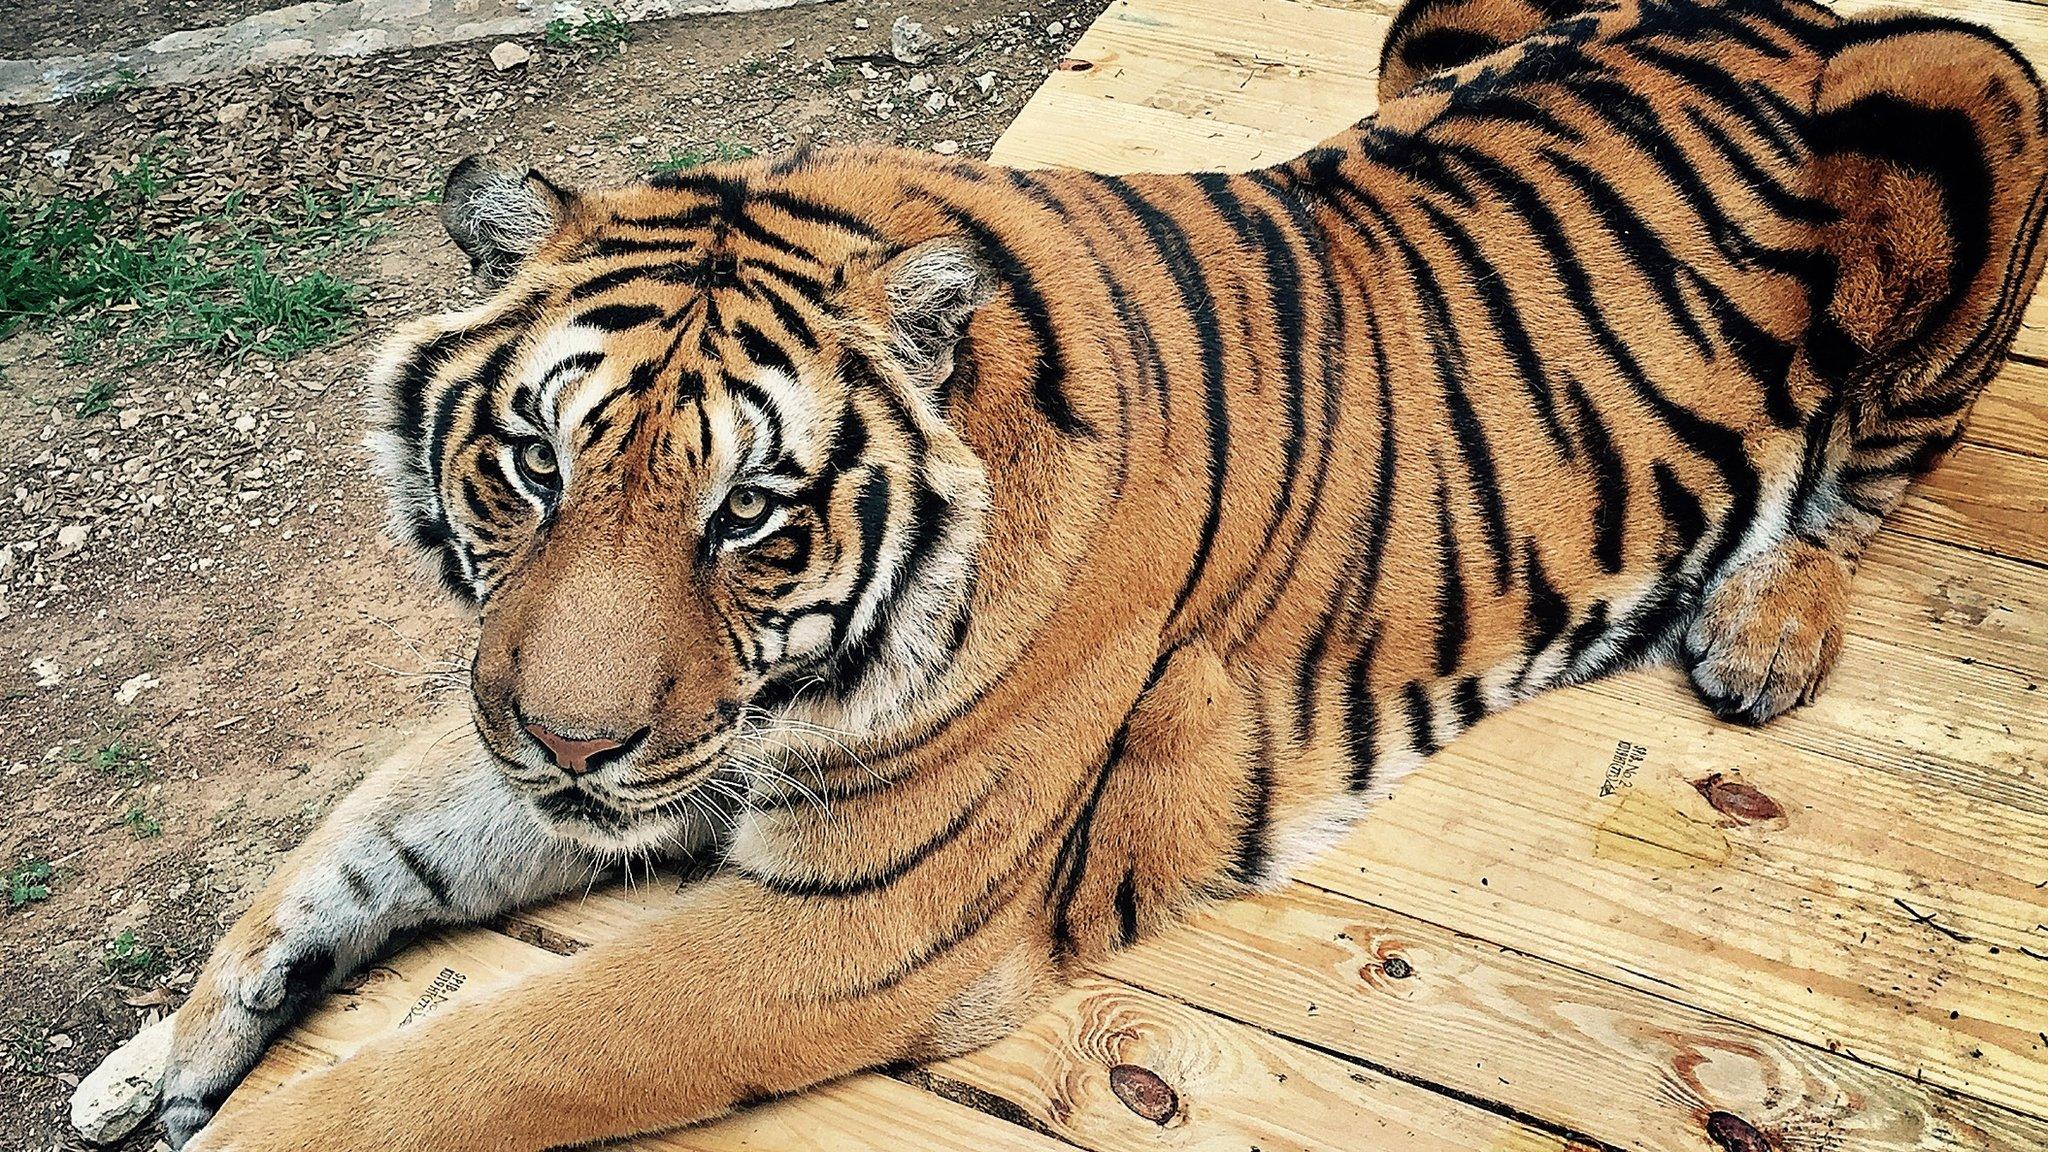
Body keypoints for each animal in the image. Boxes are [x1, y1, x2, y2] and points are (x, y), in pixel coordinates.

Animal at [163, 0, 2048, 1139]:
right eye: (537, 465)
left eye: (751, 514)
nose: (568, 747)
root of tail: (1783, 6)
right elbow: (362, 833)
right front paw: (179, 1049)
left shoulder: (862, 923)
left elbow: (476, 1063)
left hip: (1963, 80)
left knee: (1874, 463)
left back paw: (1760, 625)